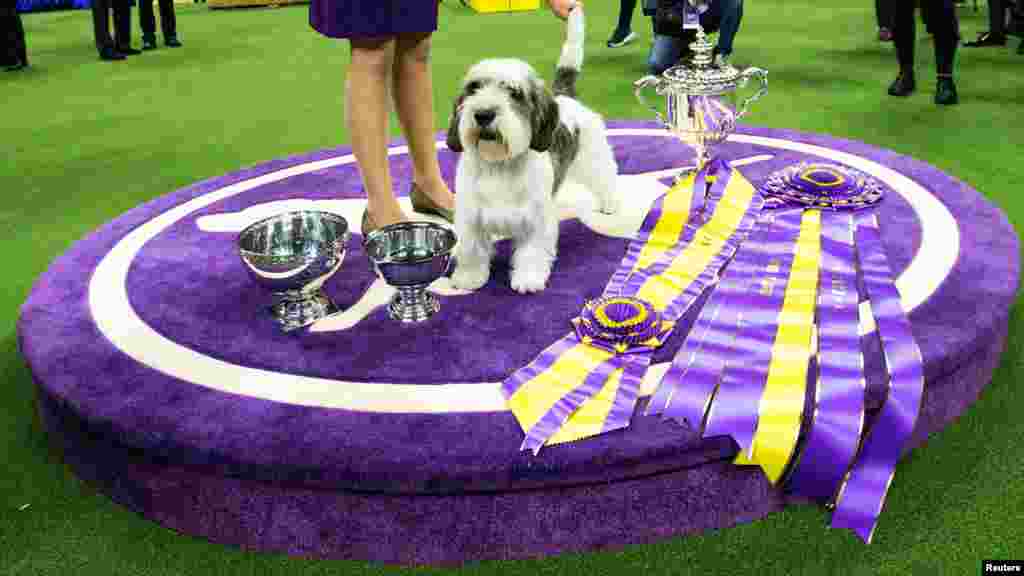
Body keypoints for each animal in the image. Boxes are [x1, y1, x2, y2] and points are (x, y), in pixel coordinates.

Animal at [446, 8, 618, 293]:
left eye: (514, 92)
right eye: (474, 88)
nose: (483, 114)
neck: (500, 164)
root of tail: (563, 96)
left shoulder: (536, 220)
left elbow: (532, 252)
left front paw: (528, 279)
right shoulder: (471, 218)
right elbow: (472, 250)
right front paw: (469, 277)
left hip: (593, 159)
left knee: (606, 179)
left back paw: (610, 204)